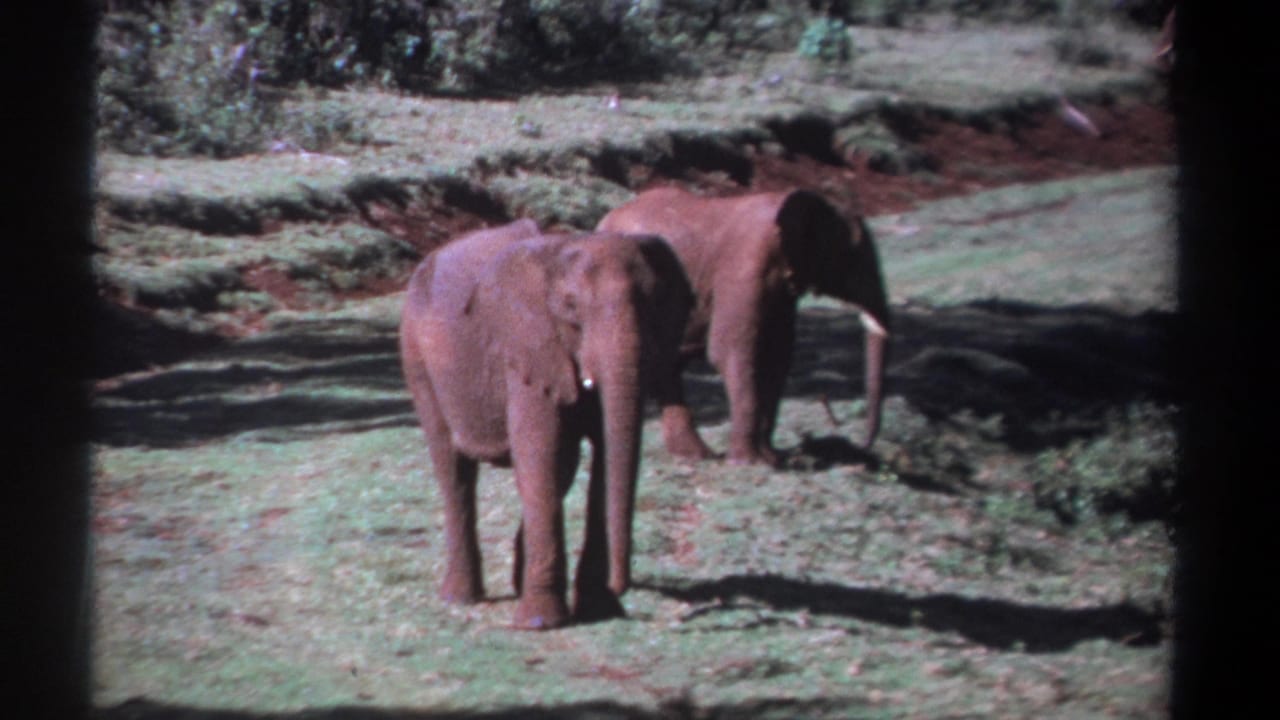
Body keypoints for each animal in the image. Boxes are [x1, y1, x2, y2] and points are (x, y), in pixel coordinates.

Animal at [398, 220, 693, 630]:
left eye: (655, 303)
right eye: (570, 307)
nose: (622, 587)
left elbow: (595, 457)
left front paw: (599, 610)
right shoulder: (529, 348)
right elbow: (543, 454)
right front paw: (541, 623)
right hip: (417, 356)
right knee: (454, 470)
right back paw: (460, 598)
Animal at [597, 186, 891, 466]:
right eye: (852, 257)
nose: (861, 444)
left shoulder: (779, 289)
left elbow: (777, 357)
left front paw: (772, 459)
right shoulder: (743, 268)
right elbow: (730, 351)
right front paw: (749, 462)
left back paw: (695, 455)